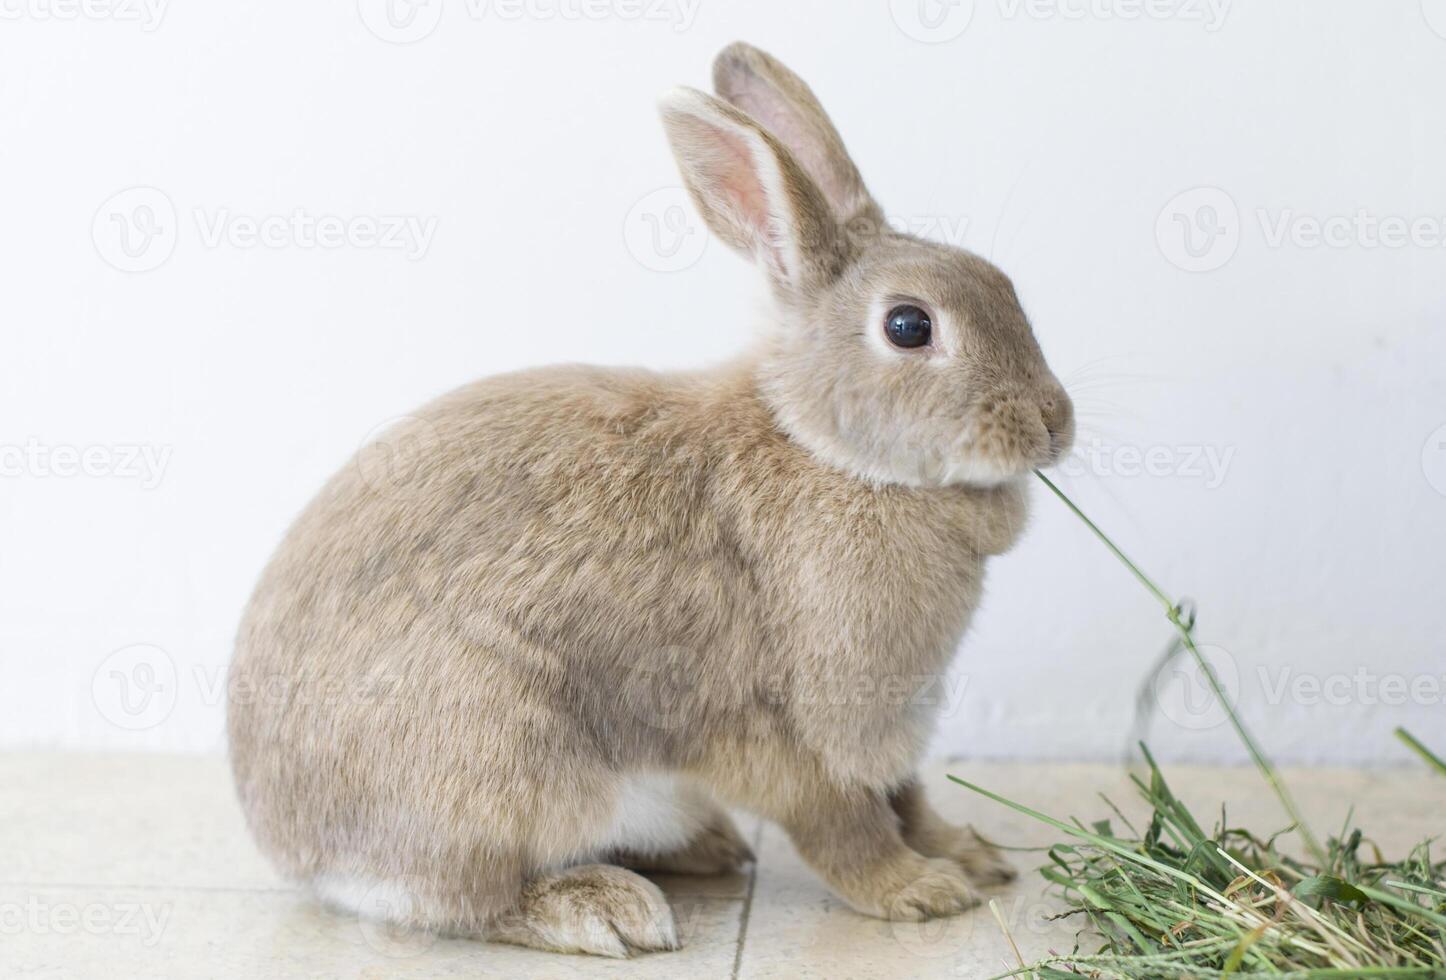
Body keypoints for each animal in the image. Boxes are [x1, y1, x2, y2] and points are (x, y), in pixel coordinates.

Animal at [225, 40, 1075, 959]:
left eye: (1004, 285)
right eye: (910, 327)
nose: (1052, 423)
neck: (825, 451)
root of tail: (292, 845)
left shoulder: (893, 731)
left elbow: (909, 799)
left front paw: (974, 855)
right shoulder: (804, 732)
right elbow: (845, 827)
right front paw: (921, 892)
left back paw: (704, 850)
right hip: (499, 759)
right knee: (467, 900)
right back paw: (605, 909)